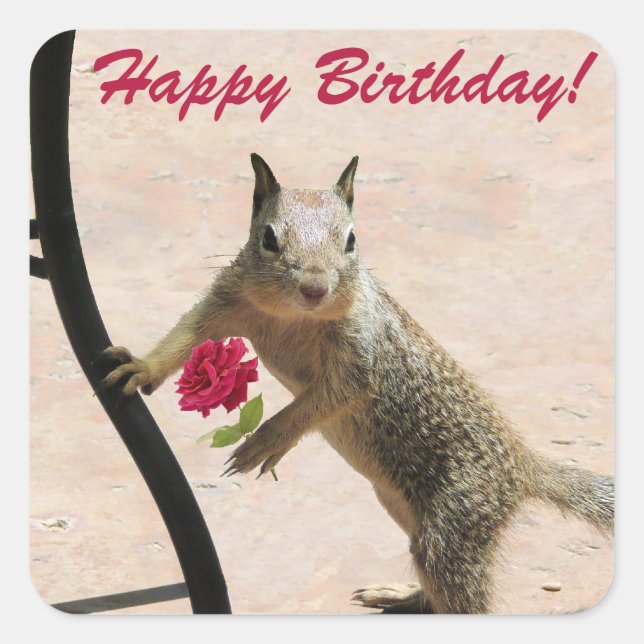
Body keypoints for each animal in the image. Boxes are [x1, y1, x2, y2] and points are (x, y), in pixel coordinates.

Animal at [100, 154, 614, 614]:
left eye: (351, 239)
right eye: (268, 237)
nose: (314, 287)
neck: (295, 317)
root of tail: (521, 469)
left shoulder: (359, 358)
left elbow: (324, 400)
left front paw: (268, 439)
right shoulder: (226, 302)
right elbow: (185, 337)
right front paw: (140, 369)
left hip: (454, 527)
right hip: (400, 506)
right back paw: (402, 595)